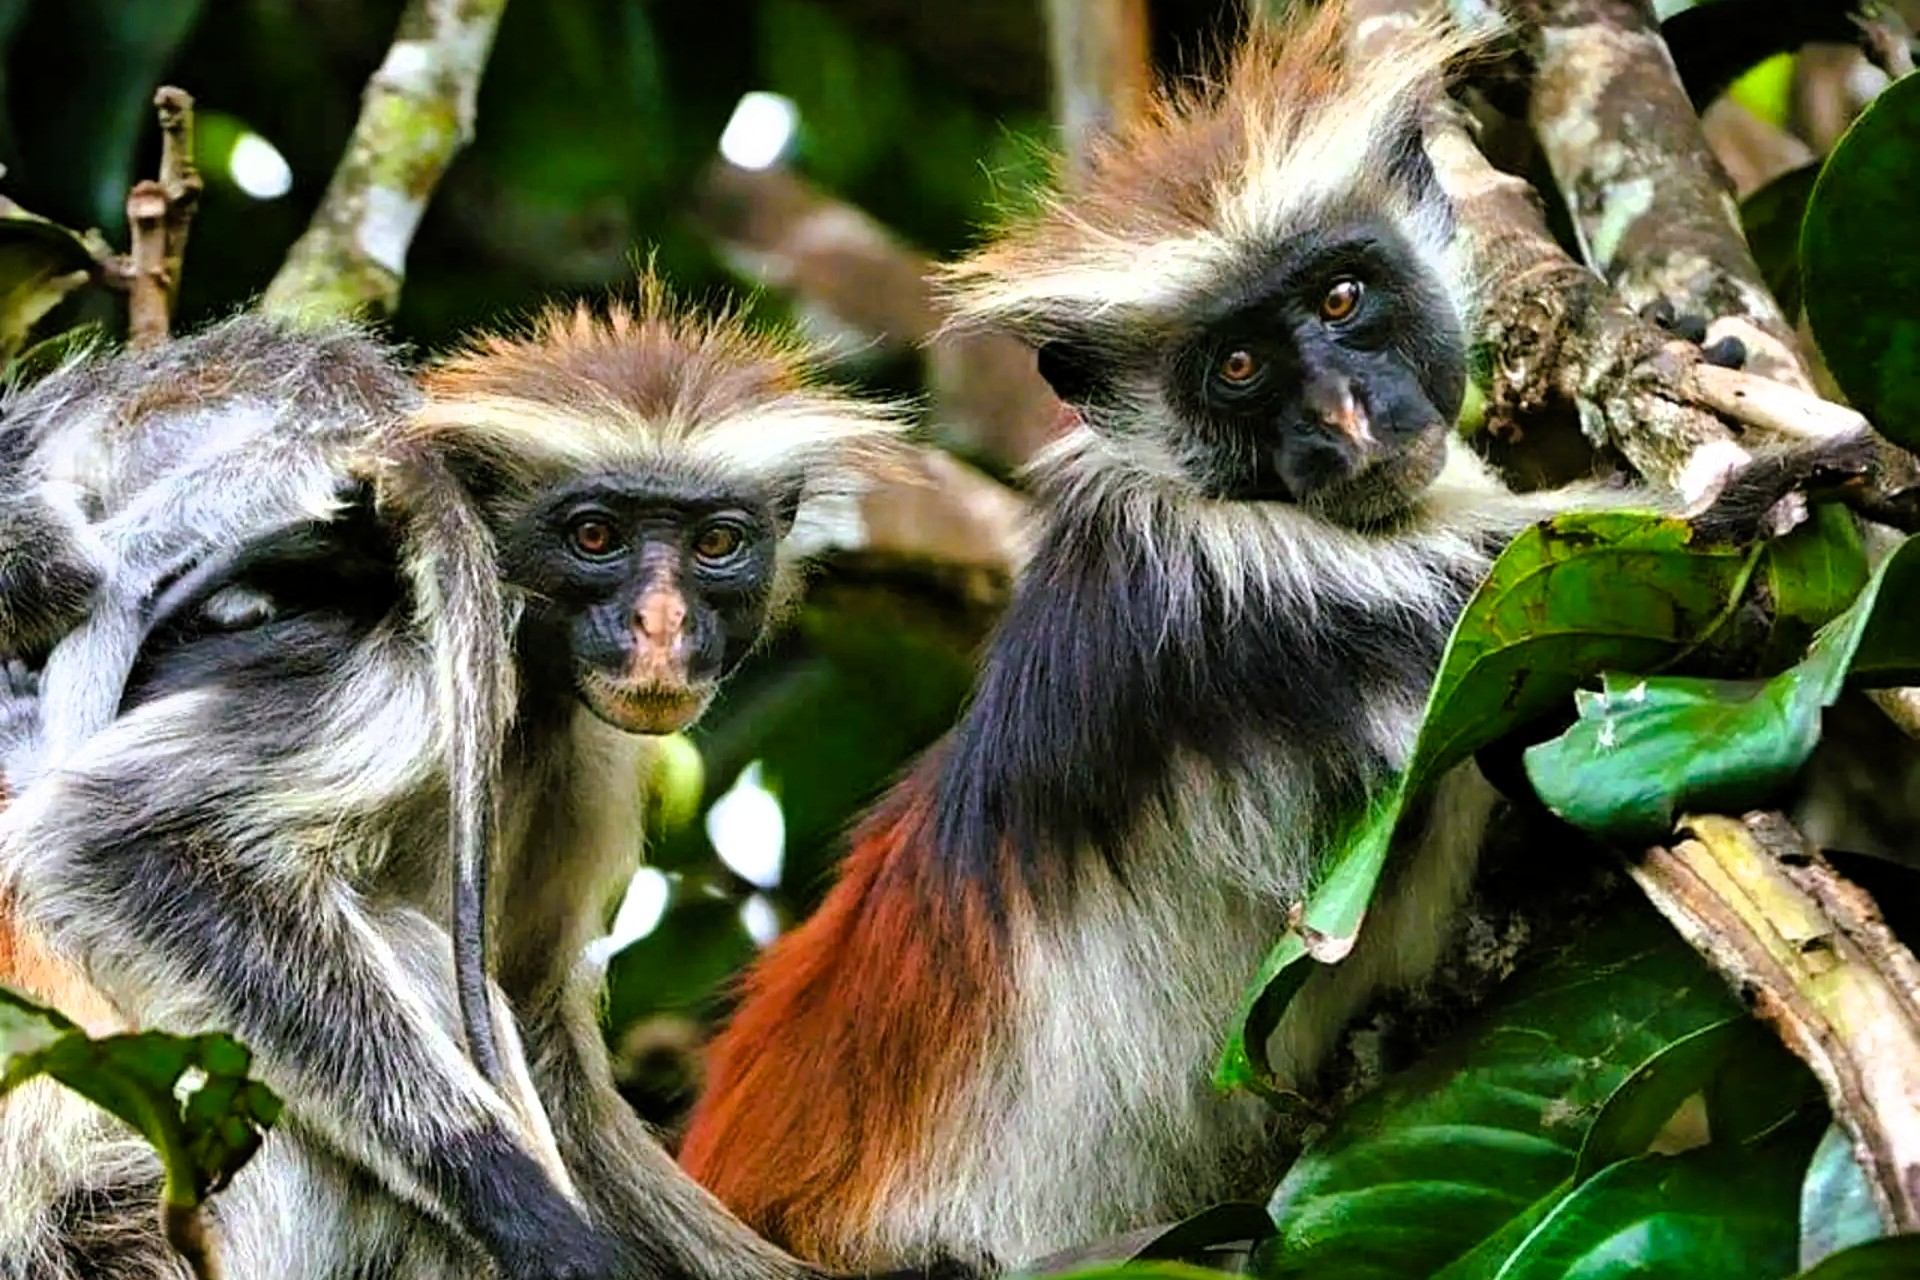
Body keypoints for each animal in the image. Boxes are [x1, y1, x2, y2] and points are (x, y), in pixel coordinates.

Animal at [0, 285, 906, 1279]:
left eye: (715, 544)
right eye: (596, 536)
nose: (660, 626)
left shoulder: (580, 744)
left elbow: (541, 1026)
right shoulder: (401, 661)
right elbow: (109, 841)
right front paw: (538, 1220)